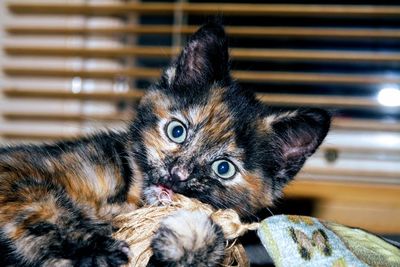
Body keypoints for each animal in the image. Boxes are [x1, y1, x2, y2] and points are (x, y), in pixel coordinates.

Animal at [0, 22, 332, 266]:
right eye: (177, 131)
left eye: (223, 168)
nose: (178, 174)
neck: (129, 200)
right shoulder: (15, 169)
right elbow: (46, 207)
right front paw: (95, 249)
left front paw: (191, 238)